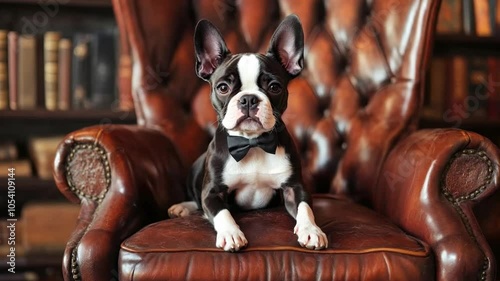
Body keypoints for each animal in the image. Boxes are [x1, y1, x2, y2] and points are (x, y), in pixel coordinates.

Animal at [168, 14, 328, 252]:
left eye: (274, 87)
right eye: (223, 88)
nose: (249, 99)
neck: (252, 143)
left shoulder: (295, 188)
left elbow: (305, 208)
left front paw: (312, 230)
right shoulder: (212, 193)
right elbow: (222, 212)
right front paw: (231, 234)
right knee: (196, 199)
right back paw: (181, 207)